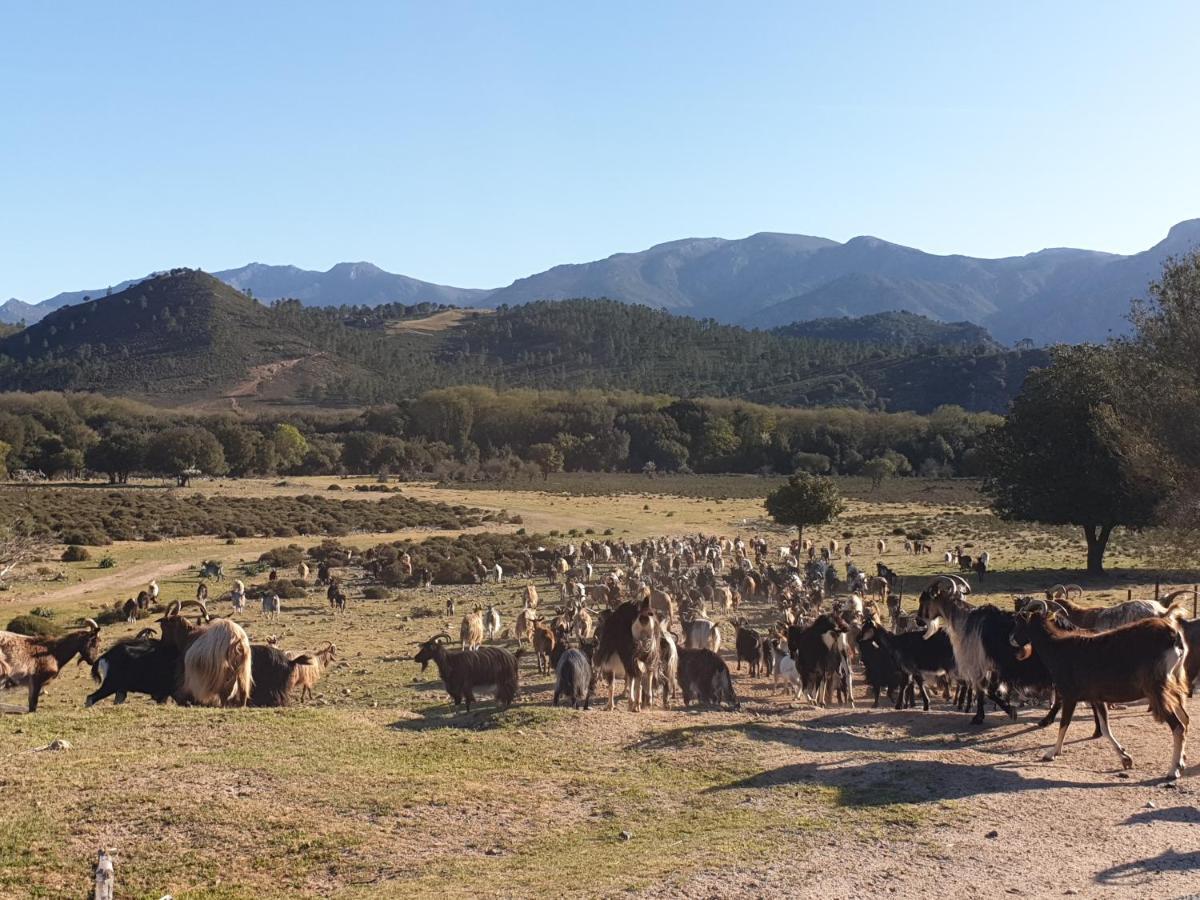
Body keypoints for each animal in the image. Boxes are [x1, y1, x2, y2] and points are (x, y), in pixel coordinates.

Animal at [1012, 600, 1190, 782]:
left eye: (1019, 620)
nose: (1012, 639)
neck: (1057, 647)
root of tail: (1174, 636)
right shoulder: (1097, 698)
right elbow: (1105, 729)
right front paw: (1125, 758)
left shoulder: (1070, 696)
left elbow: (1064, 724)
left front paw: (1052, 753)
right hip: (1172, 686)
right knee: (1185, 719)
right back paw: (1181, 762)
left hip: (1157, 690)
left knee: (1178, 726)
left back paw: (1173, 771)